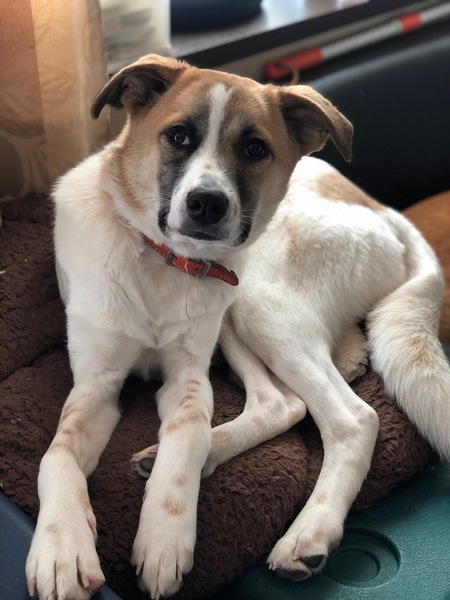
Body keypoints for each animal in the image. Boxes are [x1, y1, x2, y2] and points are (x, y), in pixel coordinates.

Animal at [26, 54, 450, 600]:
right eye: (178, 136)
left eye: (254, 149)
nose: (208, 204)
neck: (161, 260)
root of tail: (384, 212)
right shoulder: (94, 386)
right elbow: (55, 454)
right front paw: (60, 547)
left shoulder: (188, 379)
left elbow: (188, 433)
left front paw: (165, 534)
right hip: (241, 314)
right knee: (283, 402)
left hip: (258, 301)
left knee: (352, 418)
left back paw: (309, 533)